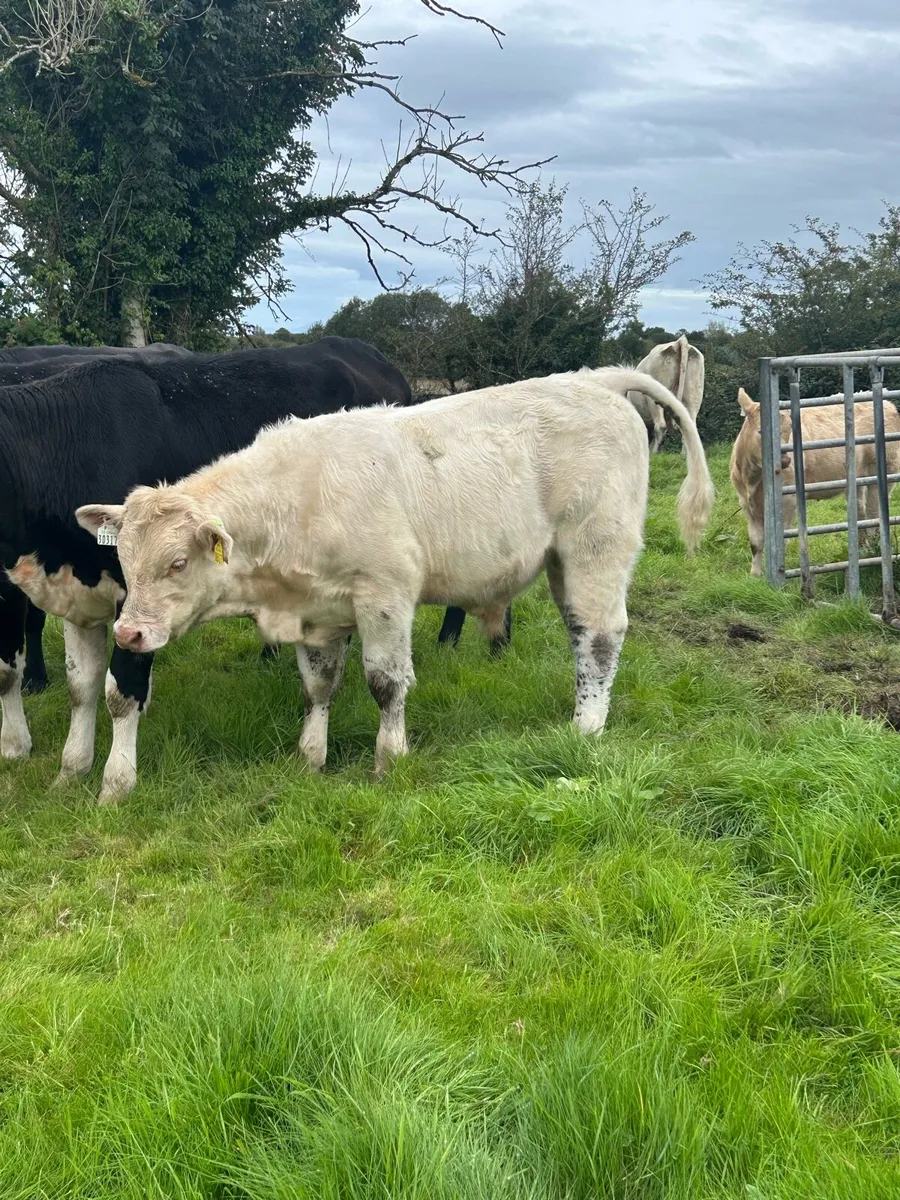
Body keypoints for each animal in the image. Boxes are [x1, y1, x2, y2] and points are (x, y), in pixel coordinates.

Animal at [0, 337, 412, 800]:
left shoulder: (136, 602)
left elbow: (120, 691)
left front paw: (115, 783)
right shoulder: (78, 597)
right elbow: (77, 687)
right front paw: (69, 769)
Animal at [731, 386, 900, 576]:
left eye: (789, 431)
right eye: (761, 431)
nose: (785, 461)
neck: (752, 480)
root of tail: (888, 403)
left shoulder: (787, 500)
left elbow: (782, 537)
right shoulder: (745, 503)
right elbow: (755, 541)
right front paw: (755, 575)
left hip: (886, 468)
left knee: (873, 512)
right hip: (858, 476)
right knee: (860, 511)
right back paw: (863, 550)